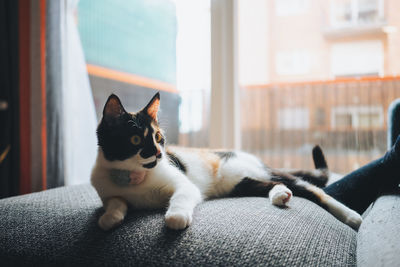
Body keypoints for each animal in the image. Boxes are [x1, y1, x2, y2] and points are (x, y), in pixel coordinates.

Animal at [90, 93, 362, 232]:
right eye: (136, 139)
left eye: (158, 137)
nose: (158, 154)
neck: (134, 177)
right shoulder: (107, 189)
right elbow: (115, 202)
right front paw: (110, 217)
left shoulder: (184, 183)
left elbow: (182, 195)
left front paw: (176, 217)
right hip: (239, 182)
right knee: (272, 185)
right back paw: (280, 195)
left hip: (252, 172)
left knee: (312, 189)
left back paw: (351, 216)